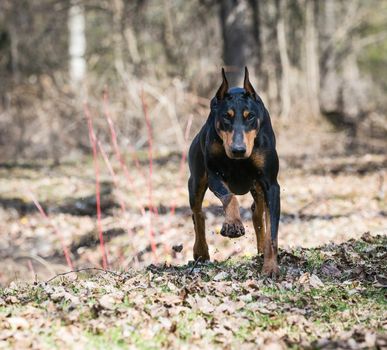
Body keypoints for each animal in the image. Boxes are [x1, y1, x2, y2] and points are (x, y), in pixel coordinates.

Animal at [189, 67, 280, 276]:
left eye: (250, 116)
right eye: (226, 116)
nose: (238, 150)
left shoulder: (271, 185)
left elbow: (272, 231)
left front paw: (271, 267)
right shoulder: (215, 175)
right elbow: (229, 197)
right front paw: (233, 224)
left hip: (257, 186)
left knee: (258, 211)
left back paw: (261, 249)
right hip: (195, 181)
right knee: (197, 214)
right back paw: (201, 251)